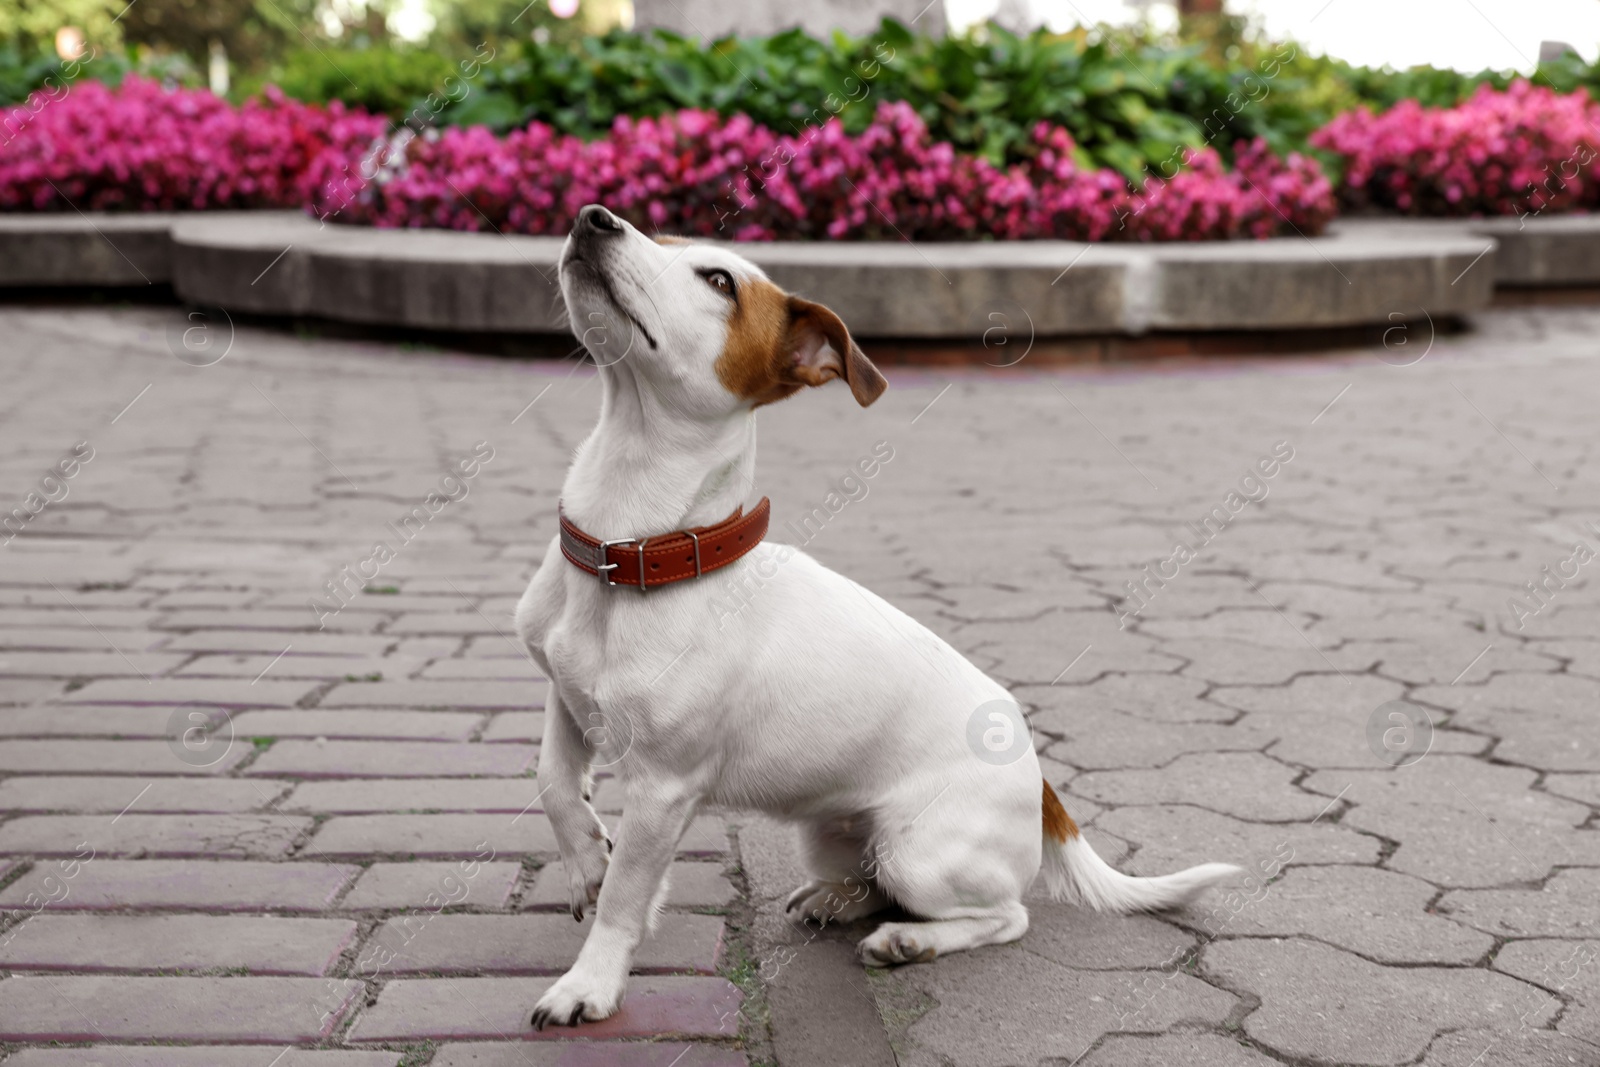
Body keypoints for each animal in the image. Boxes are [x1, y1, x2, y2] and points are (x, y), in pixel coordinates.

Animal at [512, 204, 1235, 1030]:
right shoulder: (564, 693)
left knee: (1002, 913)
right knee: (870, 883)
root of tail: (1041, 778)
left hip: (919, 851)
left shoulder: (664, 789)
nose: (594, 217)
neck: (635, 545)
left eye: (719, 281)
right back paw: (835, 899)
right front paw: (585, 860)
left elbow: (627, 899)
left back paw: (908, 941)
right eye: (654, 234)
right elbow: (554, 782)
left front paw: (589, 982)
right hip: (828, 830)